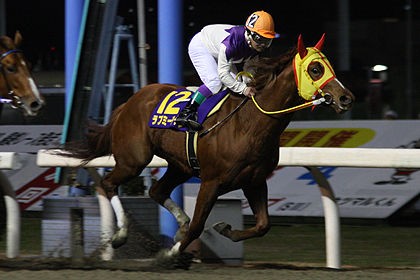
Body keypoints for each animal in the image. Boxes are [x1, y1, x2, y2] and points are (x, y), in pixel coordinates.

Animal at [59, 34, 354, 268]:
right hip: (135, 159)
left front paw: (224, 229)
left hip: (180, 165)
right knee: (109, 184)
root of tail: (130, 102)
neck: (249, 123)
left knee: (157, 191)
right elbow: (199, 225)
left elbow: (262, 225)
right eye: (315, 69)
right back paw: (121, 235)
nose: (346, 98)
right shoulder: (211, 182)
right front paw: (170, 254)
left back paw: (179, 224)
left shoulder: (254, 180)